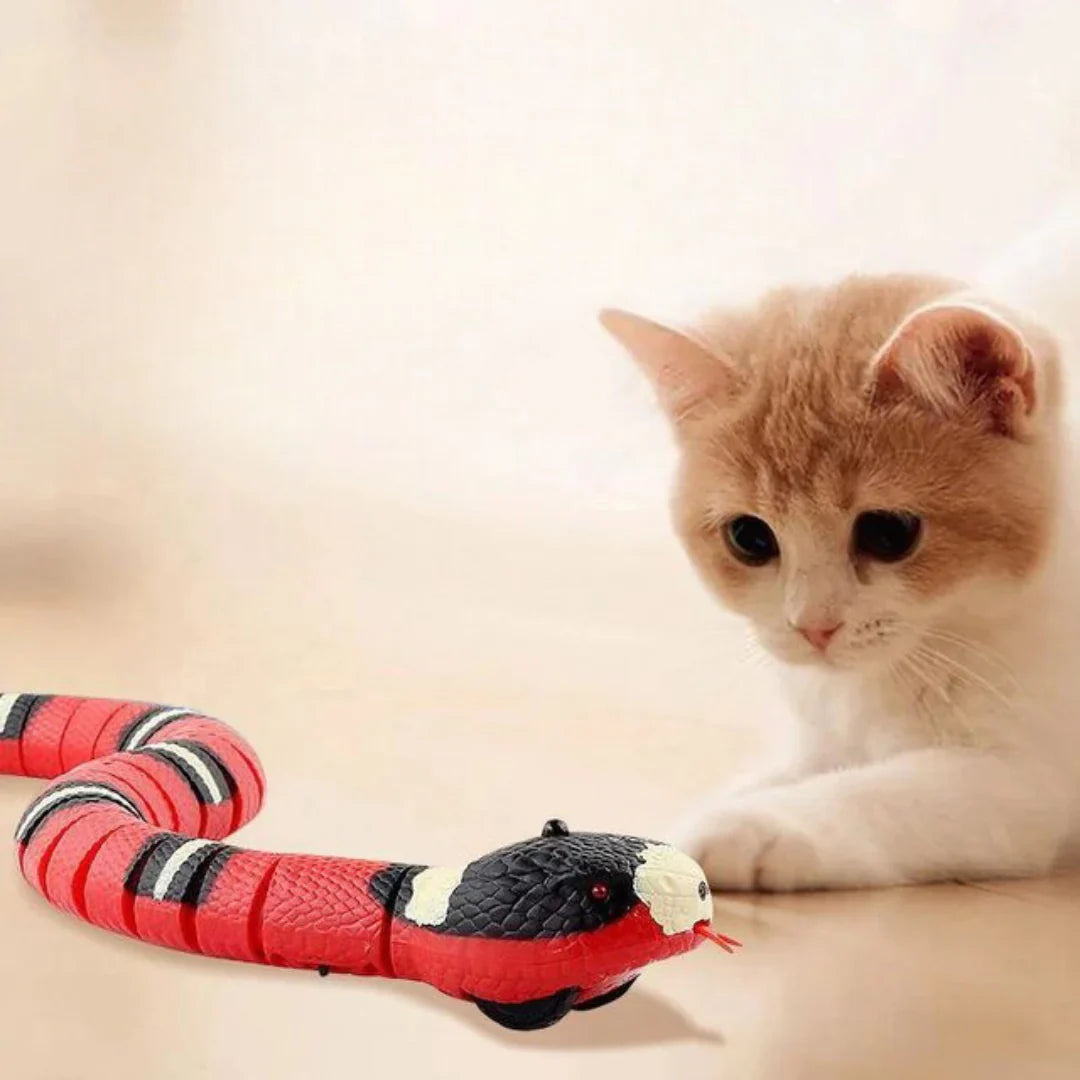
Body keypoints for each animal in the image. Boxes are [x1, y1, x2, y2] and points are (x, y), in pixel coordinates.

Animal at [600, 272, 1080, 894]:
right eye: (750, 538)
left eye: (888, 532)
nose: (813, 626)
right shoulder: (817, 733)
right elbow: (781, 770)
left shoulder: (1025, 782)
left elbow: (880, 794)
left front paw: (751, 824)